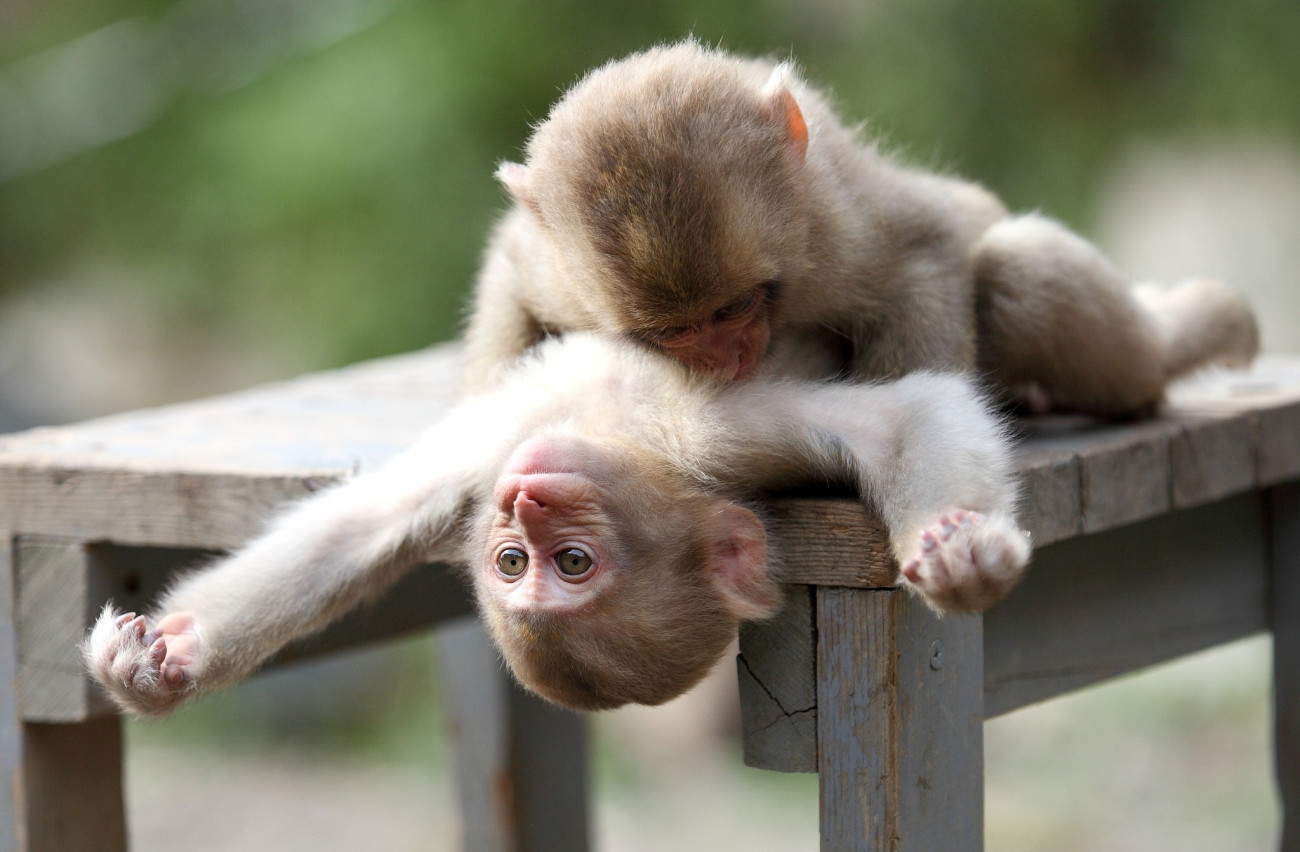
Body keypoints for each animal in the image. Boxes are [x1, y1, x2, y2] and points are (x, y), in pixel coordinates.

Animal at [89, 331, 1024, 712]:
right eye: (513, 563)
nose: (527, 501)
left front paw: (964, 556)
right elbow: (355, 527)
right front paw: (164, 664)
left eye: (570, 563)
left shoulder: (711, 438)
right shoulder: (488, 467)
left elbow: (911, 414)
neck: (618, 433)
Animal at [467, 42, 1258, 413]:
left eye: (734, 308)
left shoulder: (832, 235)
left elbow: (926, 252)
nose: (727, 360)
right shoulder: (559, 272)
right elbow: (509, 270)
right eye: (674, 333)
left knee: (1018, 272)